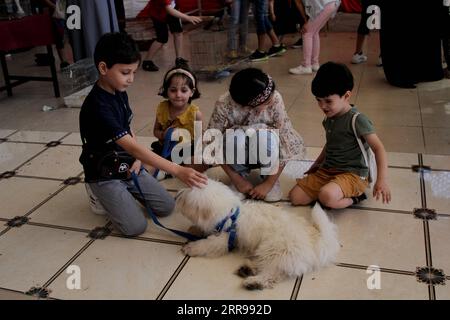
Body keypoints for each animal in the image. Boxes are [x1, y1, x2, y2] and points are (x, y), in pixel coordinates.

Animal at [174, 180, 340, 290]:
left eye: (185, 199)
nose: (176, 196)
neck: (230, 213)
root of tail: (317, 240)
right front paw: (194, 229)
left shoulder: (223, 240)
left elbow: (206, 244)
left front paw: (191, 247)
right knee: (277, 272)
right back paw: (247, 270)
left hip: (274, 249)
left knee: (271, 274)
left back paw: (253, 282)